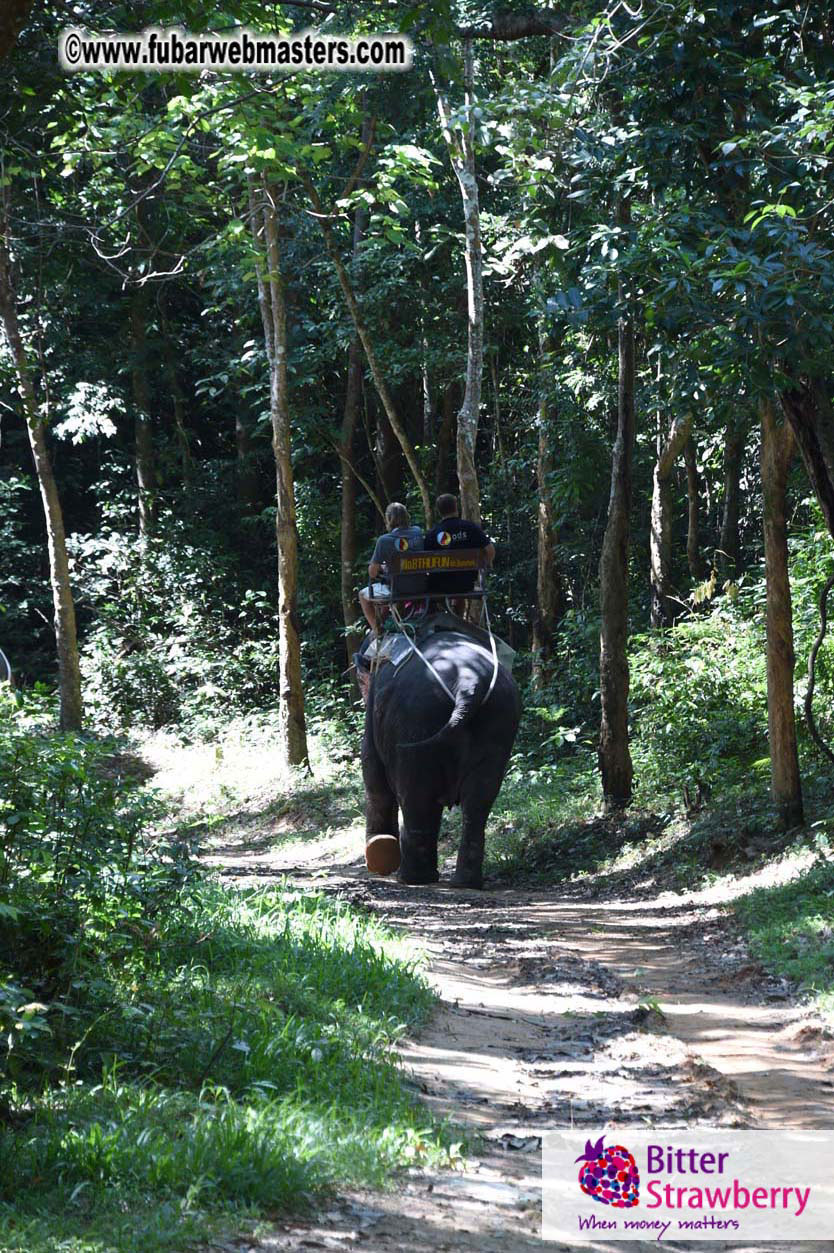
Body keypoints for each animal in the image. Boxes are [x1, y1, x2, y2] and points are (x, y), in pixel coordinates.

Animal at [361, 625, 521, 888]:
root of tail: (468, 683)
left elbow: (372, 770)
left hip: (415, 718)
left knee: (415, 795)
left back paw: (412, 878)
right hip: (500, 721)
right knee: (479, 800)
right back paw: (464, 882)